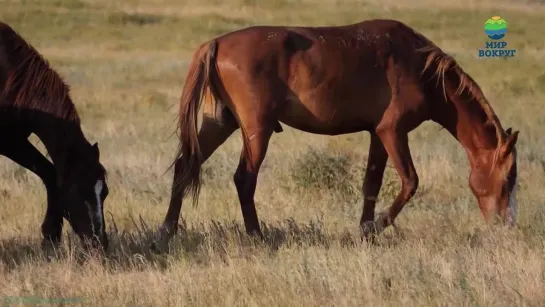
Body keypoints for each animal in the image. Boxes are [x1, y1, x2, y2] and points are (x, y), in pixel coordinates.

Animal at [0, 22, 110, 251]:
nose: (98, 243)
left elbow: (50, 174)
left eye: (104, 192)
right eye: (78, 189)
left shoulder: (12, 140)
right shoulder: (8, 142)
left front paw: (51, 235)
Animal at [154, 18, 520, 248]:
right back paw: (256, 237)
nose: (506, 225)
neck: (421, 68)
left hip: (220, 122)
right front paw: (378, 226)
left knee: (185, 166)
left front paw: (366, 231)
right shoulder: (393, 131)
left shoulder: (377, 135)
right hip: (256, 130)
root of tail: (216, 43)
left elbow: (371, 184)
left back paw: (166, 231)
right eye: (507, 179)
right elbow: (410, 181)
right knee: (244, 179)